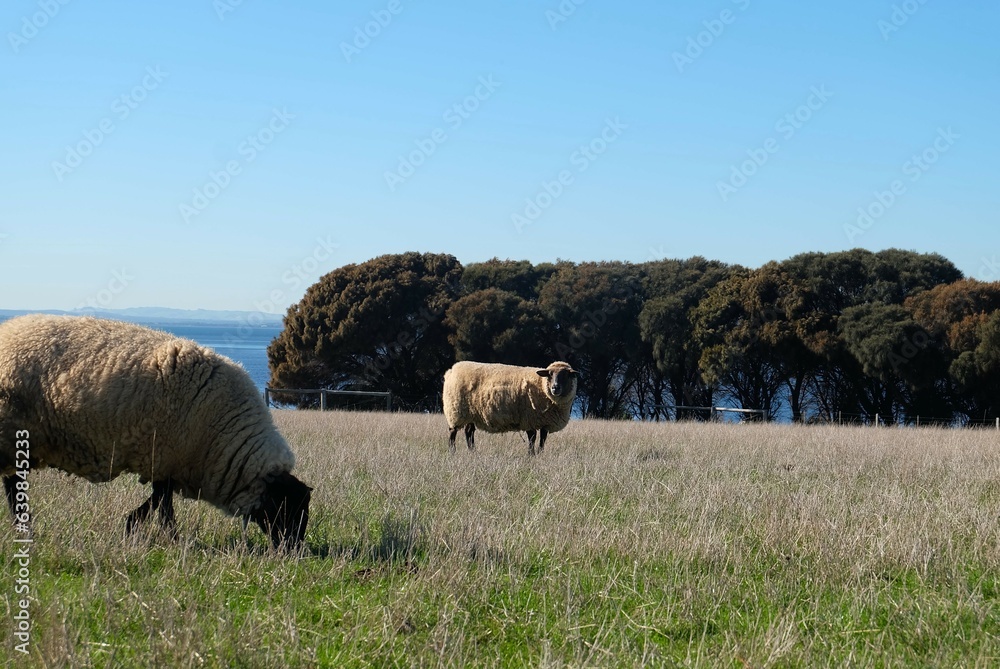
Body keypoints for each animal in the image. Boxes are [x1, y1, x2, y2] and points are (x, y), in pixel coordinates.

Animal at [0, 314, 312, 550]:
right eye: (286, 507)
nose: (294, 551)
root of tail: (8, 329)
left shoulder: (167, 464)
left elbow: (157, 502)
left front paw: (132, 525)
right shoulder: (164, 457)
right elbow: (164, 507)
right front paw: (171, 538)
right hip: (11, 431)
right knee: (13, 484)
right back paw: (23, 527)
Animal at [442, 360, 578, 455]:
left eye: (566, 375)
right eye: (550, 374)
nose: (555, 387)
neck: (542, 386)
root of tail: (451, 371)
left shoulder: (545, 423)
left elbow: (542, 440)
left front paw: (540, 454)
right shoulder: (528, 419)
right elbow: (532, 438)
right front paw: (531, 455)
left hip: (472, 414)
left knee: (469, 432)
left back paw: (473, 452)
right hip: (455, 411)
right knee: (453, 432)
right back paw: (452, 452)